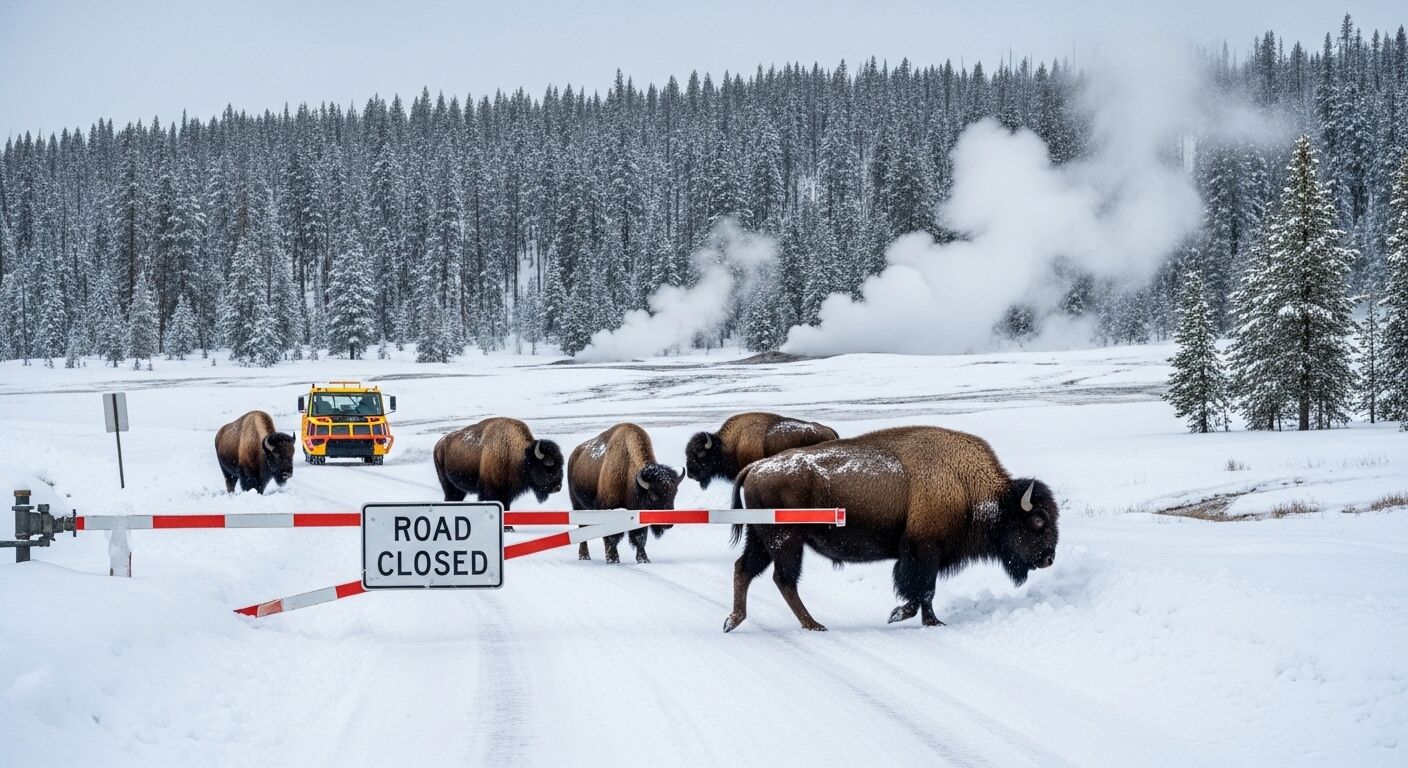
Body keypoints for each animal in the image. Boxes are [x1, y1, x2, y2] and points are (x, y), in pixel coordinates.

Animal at [569, 423, 683, 563]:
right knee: (582, 528)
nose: (668, 524)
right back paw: (584, 556)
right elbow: (612, 536)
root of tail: (574, 454)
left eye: (674, 493)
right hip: (577, 505)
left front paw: (643, 559)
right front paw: (613, 559)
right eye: (652, 495)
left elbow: (640, 537)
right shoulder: (610, 509)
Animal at [724, 426, 1058, 632]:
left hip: (763, 539)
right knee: (784, 579)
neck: (966, 485)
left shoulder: (928, 555)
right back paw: (813, 625)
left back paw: (734, 621)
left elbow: (925, 593)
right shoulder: (922, 551)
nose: (1048, 559)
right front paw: (898, 615)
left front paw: (932, 622)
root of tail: (755, 467)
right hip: (786, 541)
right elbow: (921, 588)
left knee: (745, 569)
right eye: (1038, 521)